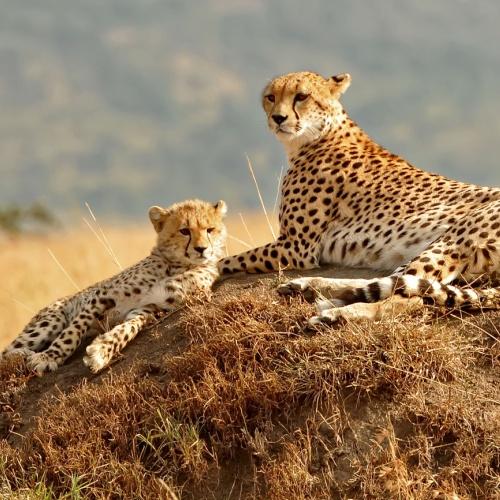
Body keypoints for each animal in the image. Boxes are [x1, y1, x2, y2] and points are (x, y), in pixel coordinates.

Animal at [1, 199, 228, 376]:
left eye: (210, 230)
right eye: (184, 231)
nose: (202, 249)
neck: (177, 265)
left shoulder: (149, 308)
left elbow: (127, 329)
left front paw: (102, 351)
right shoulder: (102, 296)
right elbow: (73, 331)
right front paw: (49, 357)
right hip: (51, 320)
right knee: (6, 352)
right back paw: (24, 354)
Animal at [222, 72, 500, 324]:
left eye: (301, 96)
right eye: (271, 97)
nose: (278, 118)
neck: (320, 134)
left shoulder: (296, 247)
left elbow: (228, 260)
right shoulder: (294, 246)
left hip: (452, 241)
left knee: (408, 297)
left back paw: (338, 313)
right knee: (393, 281)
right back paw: (311, 288)